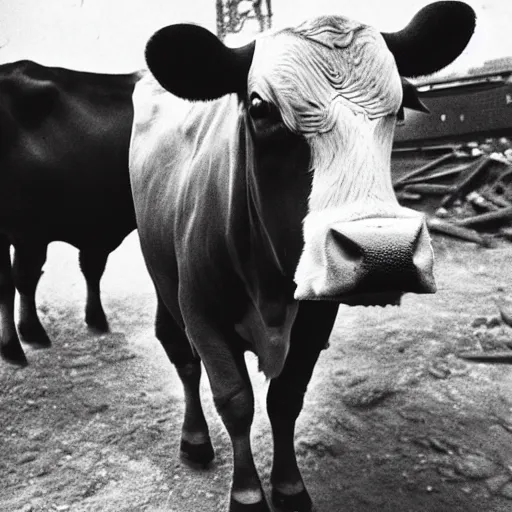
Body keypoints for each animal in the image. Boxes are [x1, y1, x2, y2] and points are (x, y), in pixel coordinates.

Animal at [129, 3, 476, 512]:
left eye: (401, 107)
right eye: (259, 108)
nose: (385, 254)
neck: (271, 285)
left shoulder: (316, 317)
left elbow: (286, 399)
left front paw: (290, 486)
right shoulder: (202, 313)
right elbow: (235, 400)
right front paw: (248, 493)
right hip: (162, 283)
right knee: (181, 355)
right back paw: (194, 439)